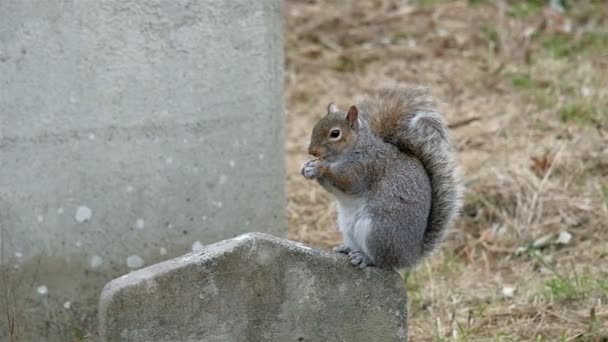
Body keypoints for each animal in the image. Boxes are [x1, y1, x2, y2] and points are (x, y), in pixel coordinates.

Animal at [302, 85, 464, 270]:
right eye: (315, 127)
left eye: (335, 133)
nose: (312, 151)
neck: (354, 147)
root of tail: (408, 256)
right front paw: (308, 166)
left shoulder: (367, 166)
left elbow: (348, 181)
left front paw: (319, 167)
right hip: (348, 228)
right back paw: (346, 249)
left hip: (378, 230)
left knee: (382, 262)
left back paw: (364, 258)